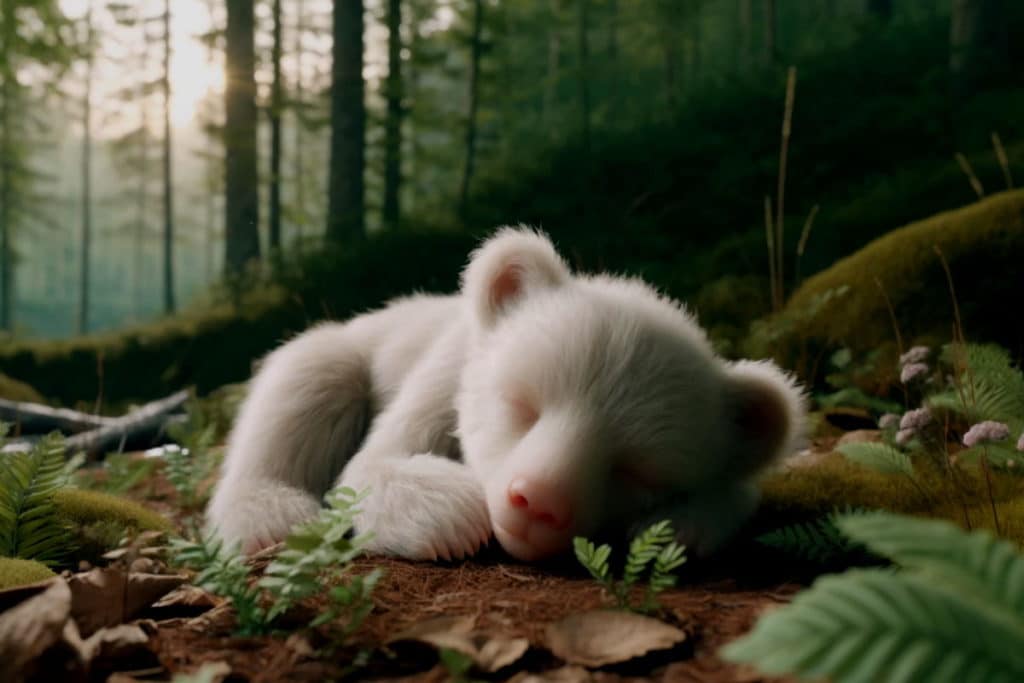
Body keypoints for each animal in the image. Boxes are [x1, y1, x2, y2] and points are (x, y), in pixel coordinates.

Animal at [206, 227, 805, 562]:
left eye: (636, 468)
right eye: (520, 405)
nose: (537, 501)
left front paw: (680, 522)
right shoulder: (447, 370)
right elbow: (368, 467)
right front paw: (453, 512)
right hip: (343, 351)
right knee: (311, 377)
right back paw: (268, 517)